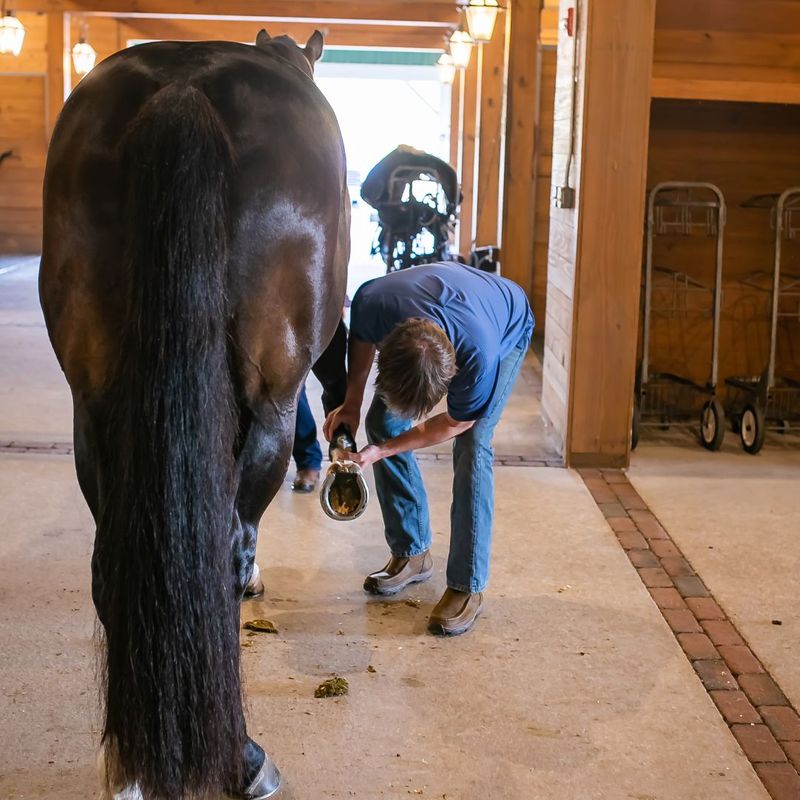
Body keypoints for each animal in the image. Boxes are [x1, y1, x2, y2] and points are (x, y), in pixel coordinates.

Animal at [39, 28, 348, 796]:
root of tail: (184, 89)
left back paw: (129, 765)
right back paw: (241, 759)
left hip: (95, 411)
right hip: (268, 405)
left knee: (110, 564)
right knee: (227, 545)